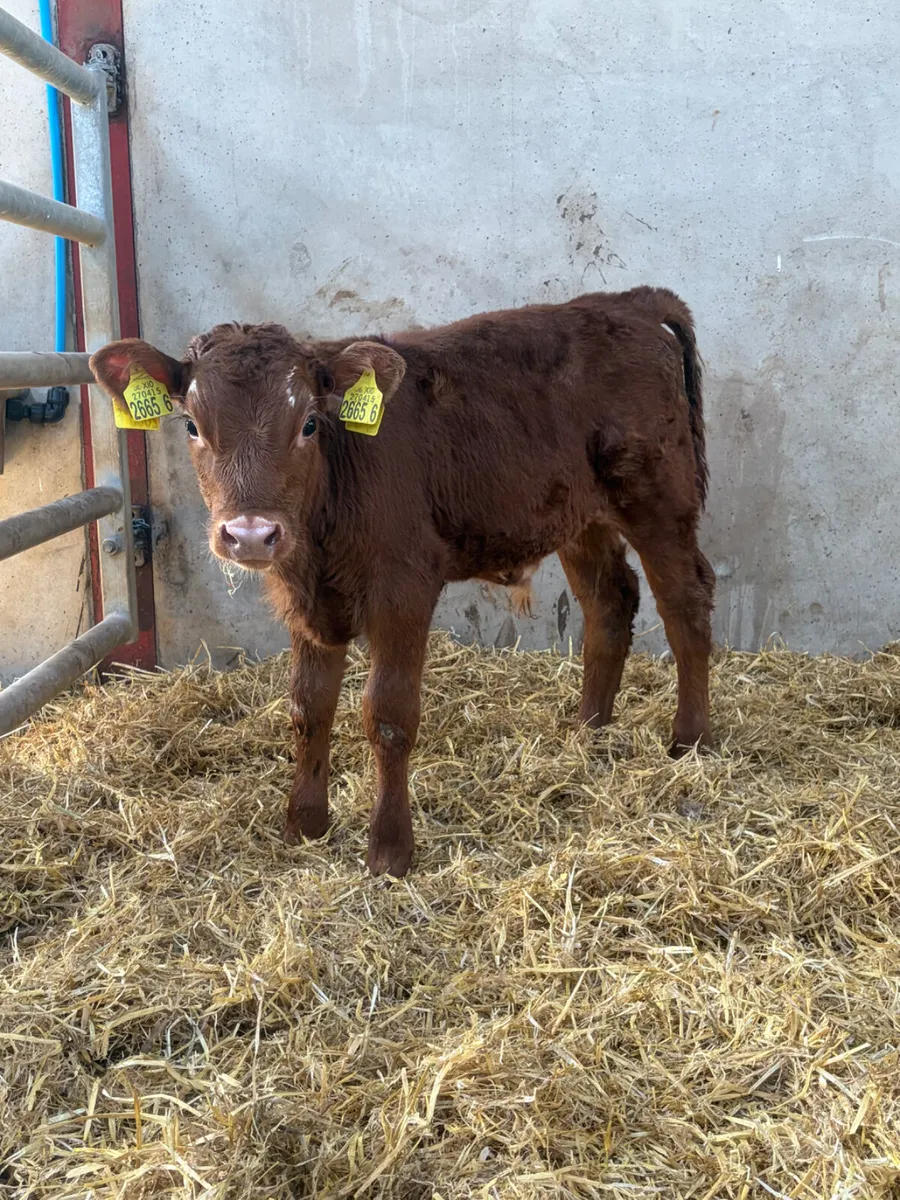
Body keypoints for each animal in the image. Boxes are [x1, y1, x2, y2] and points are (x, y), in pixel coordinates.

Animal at [90, 287, 715, 877]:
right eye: (192, 425)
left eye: (309, 424)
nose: (250, 535)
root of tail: (628, 302)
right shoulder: (303, 601)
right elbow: (307, 707)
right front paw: (304, 826)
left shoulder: (404, 589)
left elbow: (388, 716)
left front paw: (390, 852)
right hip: (580, 518)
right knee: (609, 603)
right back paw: (588, 731)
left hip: (660, 498)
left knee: (687, 603)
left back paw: (690, 740)